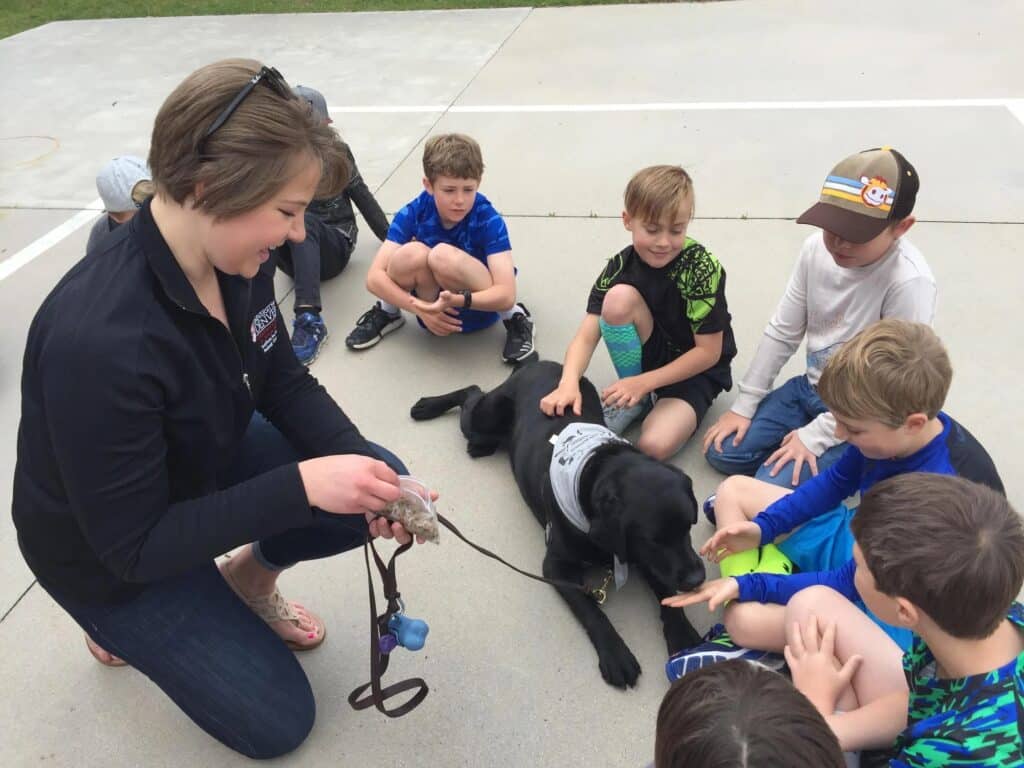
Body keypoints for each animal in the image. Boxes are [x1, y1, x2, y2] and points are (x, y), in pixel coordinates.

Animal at [407, 360, 704, 692]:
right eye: (655, 539)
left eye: (690, 526)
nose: (698, 578)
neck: (594, 469)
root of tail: (540, 363)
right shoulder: (556, 566)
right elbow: (592, 611)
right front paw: (616, 654)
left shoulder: (641, 556)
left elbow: (666, 590)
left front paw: (682, 634)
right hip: (485, 417)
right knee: (472, 392)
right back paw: (428, 406)